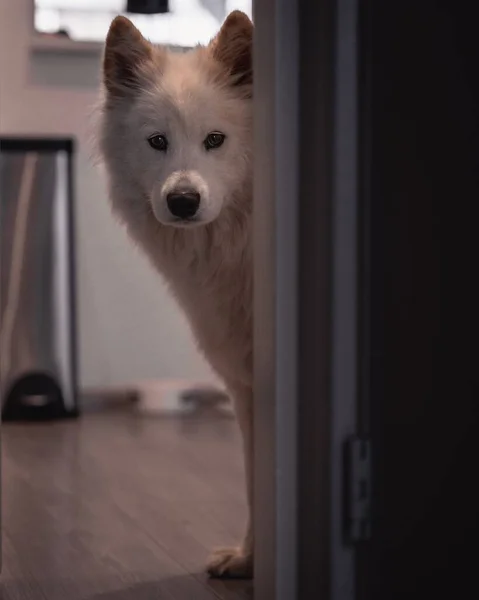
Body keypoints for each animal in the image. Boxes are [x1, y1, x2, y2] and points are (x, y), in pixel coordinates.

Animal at [97, 11, 255, 580]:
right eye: (157, 142)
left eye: (215, 140)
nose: (183, 201)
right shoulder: (247, 384)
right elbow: (258, 482)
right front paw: (251, 559)